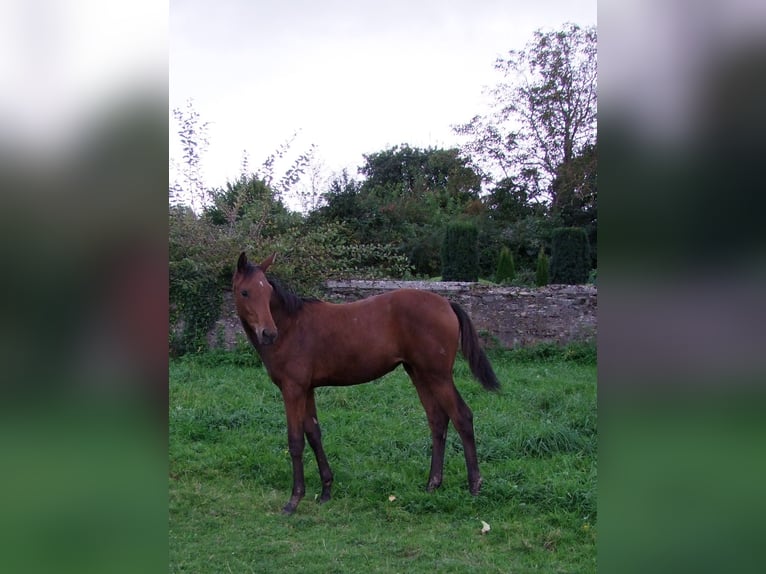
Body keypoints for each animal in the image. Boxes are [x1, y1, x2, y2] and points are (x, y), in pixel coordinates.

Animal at [232, 254, 504, 516]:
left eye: (268, 291)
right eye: (245, 292)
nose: (268, 333)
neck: (291, 326)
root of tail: (447, 303)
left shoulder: (293, 390)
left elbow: (296, 441)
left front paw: (294, 500)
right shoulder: (306, 389)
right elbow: (314, 434)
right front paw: (326, 491)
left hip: (438, 375)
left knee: (462, 417)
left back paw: (474, 486)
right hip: (419, 373)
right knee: (437, 420)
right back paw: (432, 484)